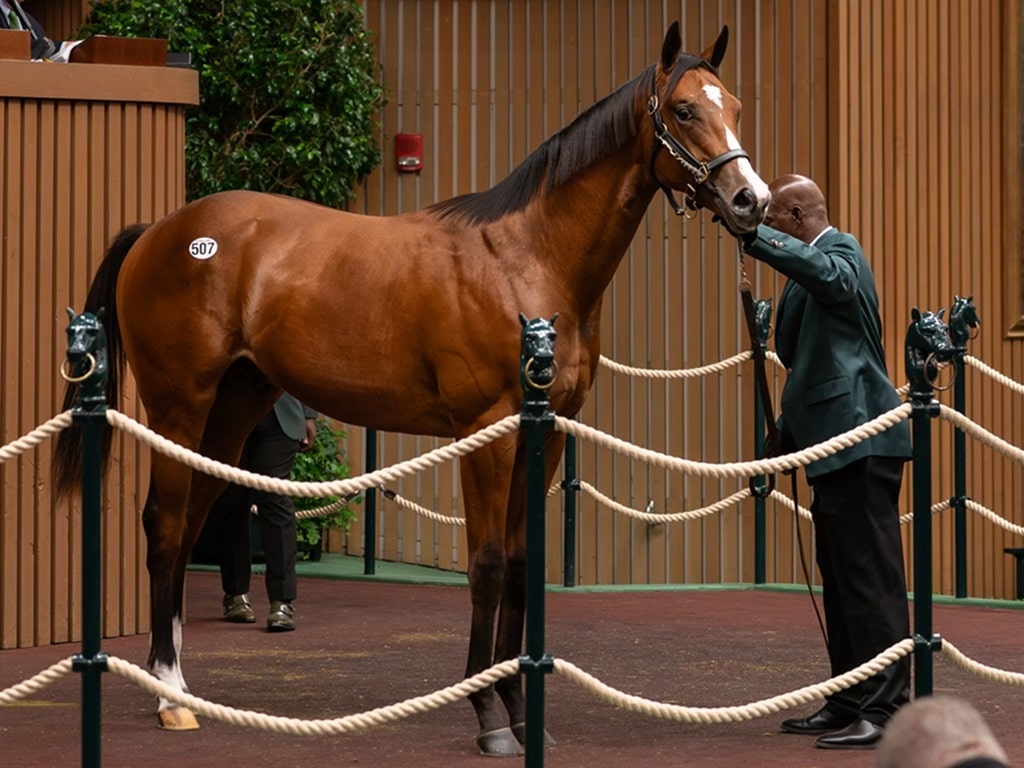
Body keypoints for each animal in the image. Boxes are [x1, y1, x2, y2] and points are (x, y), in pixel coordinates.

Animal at [51, 22, 765, 757]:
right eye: (684, 109)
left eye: (736, 107)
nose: (752, 200)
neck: (525, 261)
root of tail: (159, 232)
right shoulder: (487, 435)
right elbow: (487, 565)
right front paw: (489, 717)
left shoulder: (548, 434)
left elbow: (520, 565)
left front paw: (518, 709)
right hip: (179, 406)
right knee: (165, 526)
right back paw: (168, 695)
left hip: (232, 408)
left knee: (192, 521)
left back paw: (179, 686)